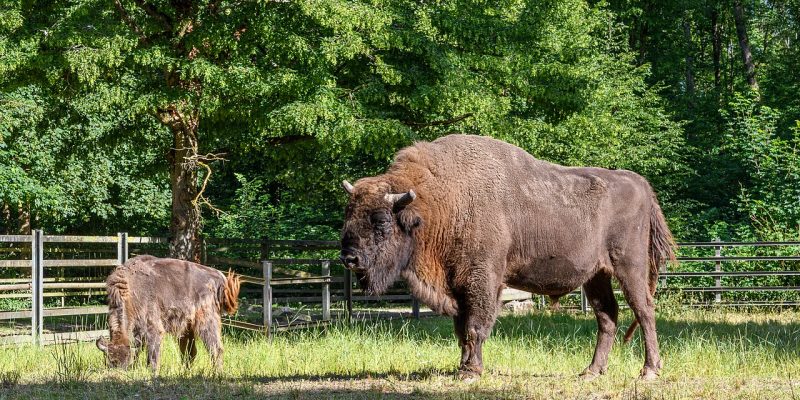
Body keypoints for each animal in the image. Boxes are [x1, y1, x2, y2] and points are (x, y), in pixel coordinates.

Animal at [340, 134, 675, 380]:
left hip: (629, 266)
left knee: (644, 310)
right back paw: (591, 372)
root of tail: (640, 183)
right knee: (607, 315)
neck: (437, 201)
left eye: (382, 221)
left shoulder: (482, 280)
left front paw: (470, 373)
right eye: (348, 216)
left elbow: (476, 325)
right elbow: (461, 328)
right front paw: (463, 367)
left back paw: (649, 371)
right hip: (596, 275)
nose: (348, 258)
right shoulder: (457, 285)